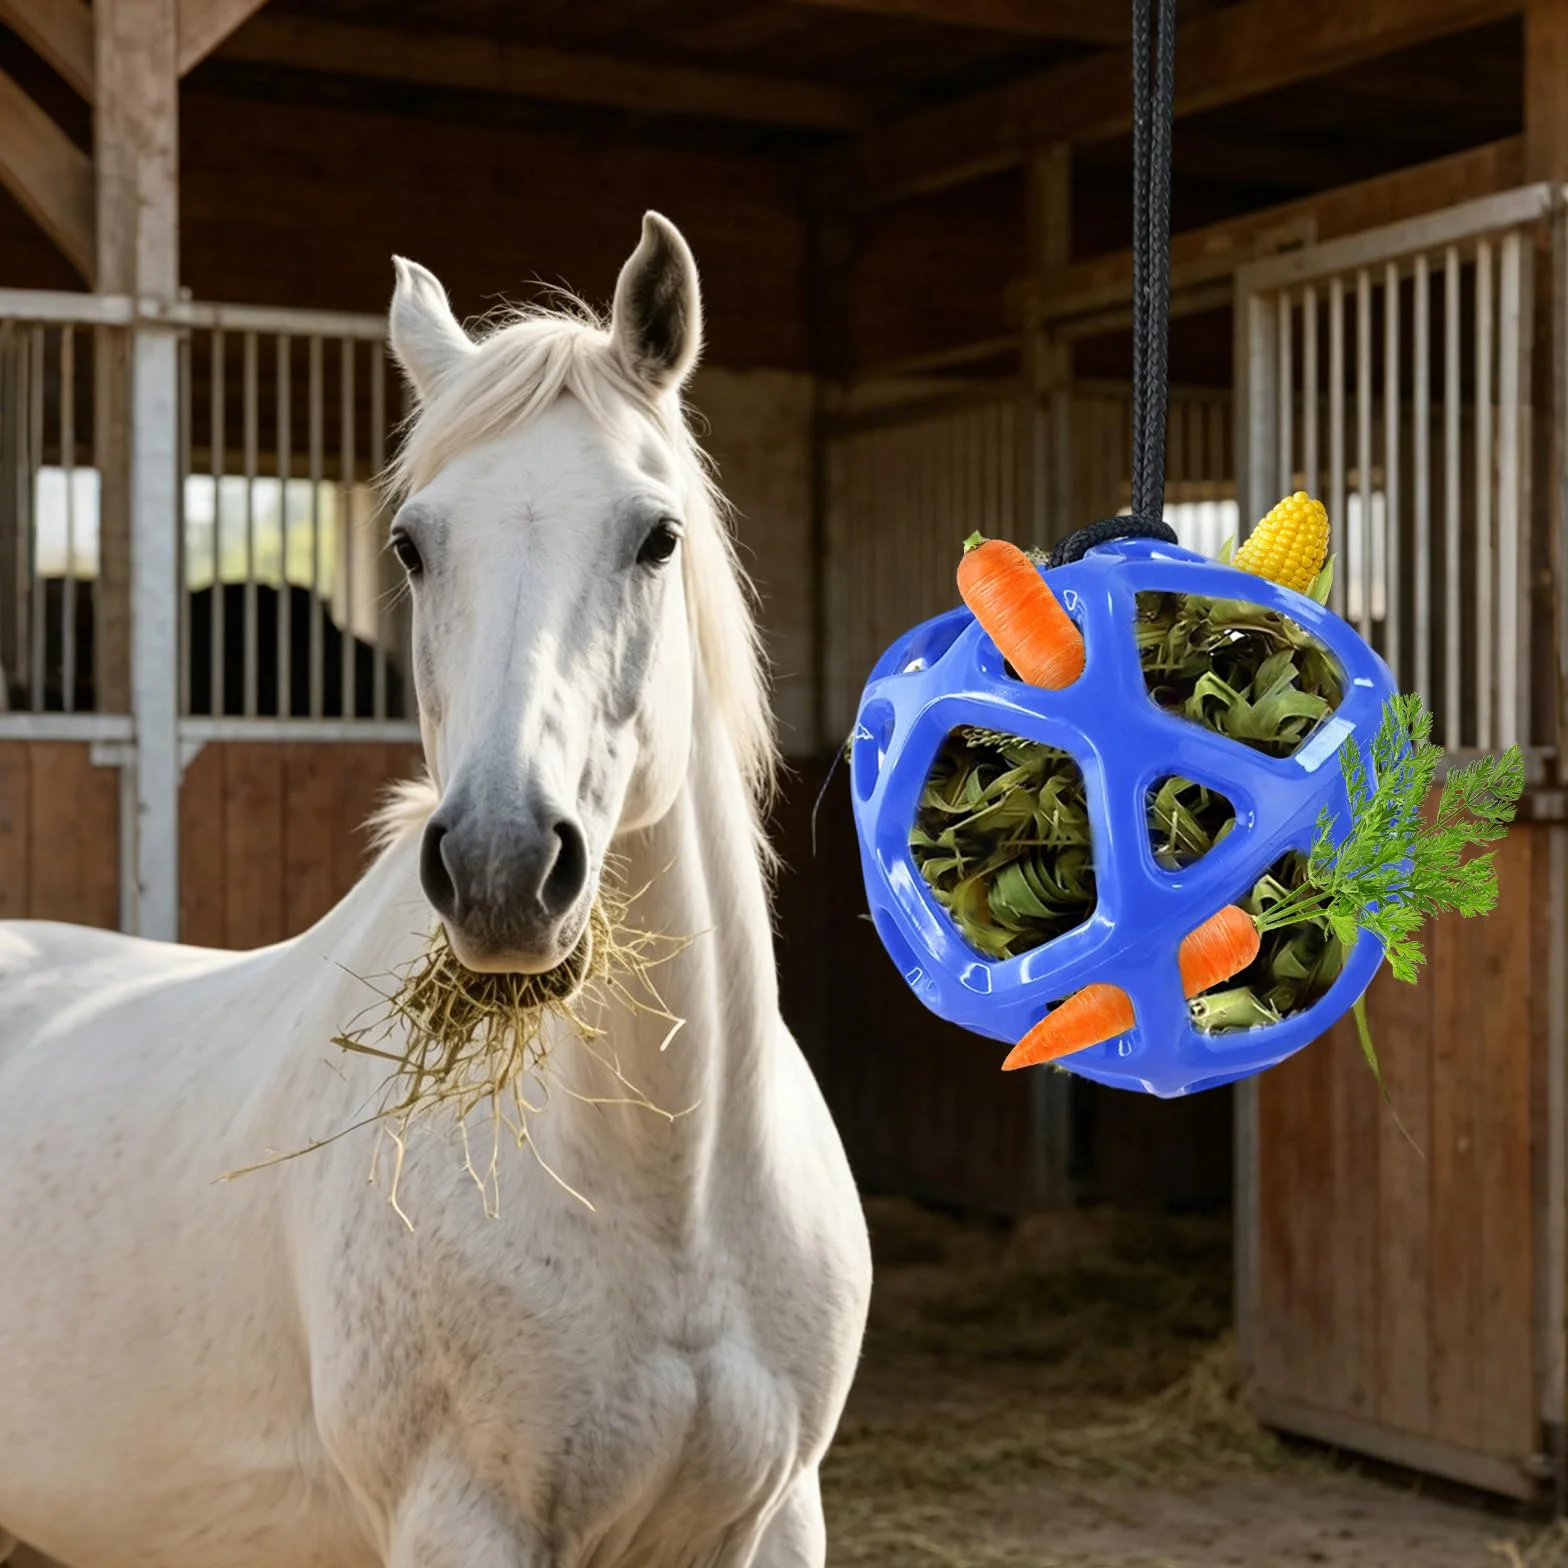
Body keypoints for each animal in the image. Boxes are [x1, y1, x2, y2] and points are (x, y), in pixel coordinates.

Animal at [0, 213, 872, 1568]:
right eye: (413, 542)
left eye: (656, 535)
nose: (501, 867)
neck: (672, 1196)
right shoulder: (463, 1519)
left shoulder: (773, 1517)